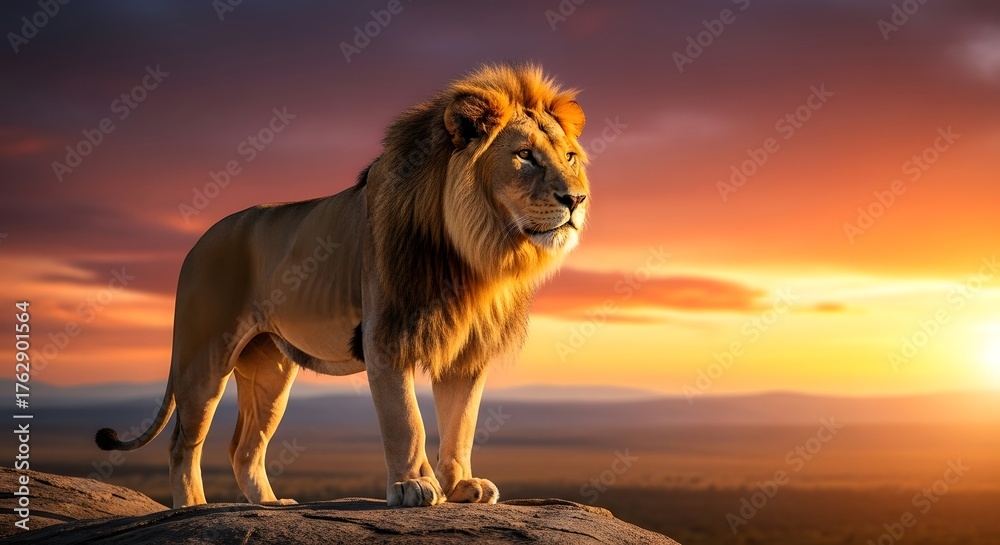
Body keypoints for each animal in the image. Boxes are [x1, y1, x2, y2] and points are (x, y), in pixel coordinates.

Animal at [95, 63, 590, 509]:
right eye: (524, 155)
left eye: (569, 157)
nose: (576, 198)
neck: (477, 253)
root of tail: (197, 243)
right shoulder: (385, 334)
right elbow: (405, 419)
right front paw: (413, 486)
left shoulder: (467, 349)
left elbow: (461, 424)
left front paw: (461, 486)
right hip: (204, 357)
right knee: (184, 441)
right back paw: (193, 507)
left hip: (268, 369)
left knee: (244, 447)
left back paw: (271, 505)